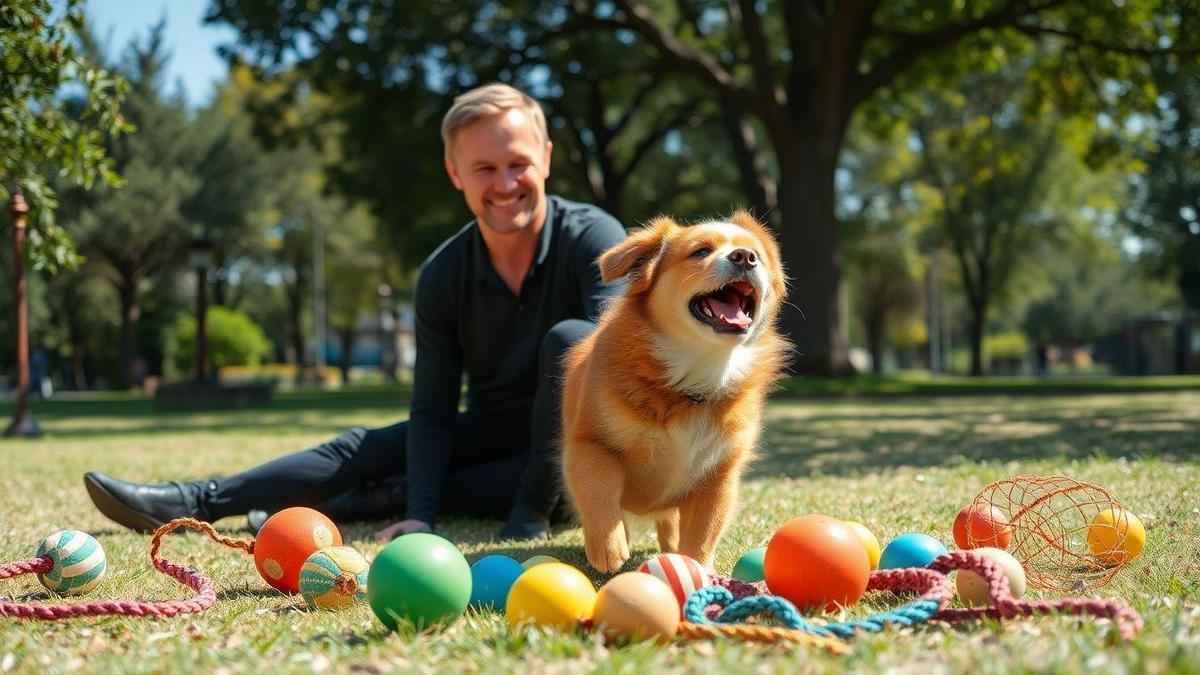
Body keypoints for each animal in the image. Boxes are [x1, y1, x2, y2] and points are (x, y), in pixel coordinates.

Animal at [559, 208, 787, 566]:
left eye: (758, 256)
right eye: (700, 252)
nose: (744, 257)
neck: (696, 374)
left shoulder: (719, 476)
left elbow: (704, 533)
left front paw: (694, 565)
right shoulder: (590, 444)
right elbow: (598, 492)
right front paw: (608, 546)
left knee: (669, 520)